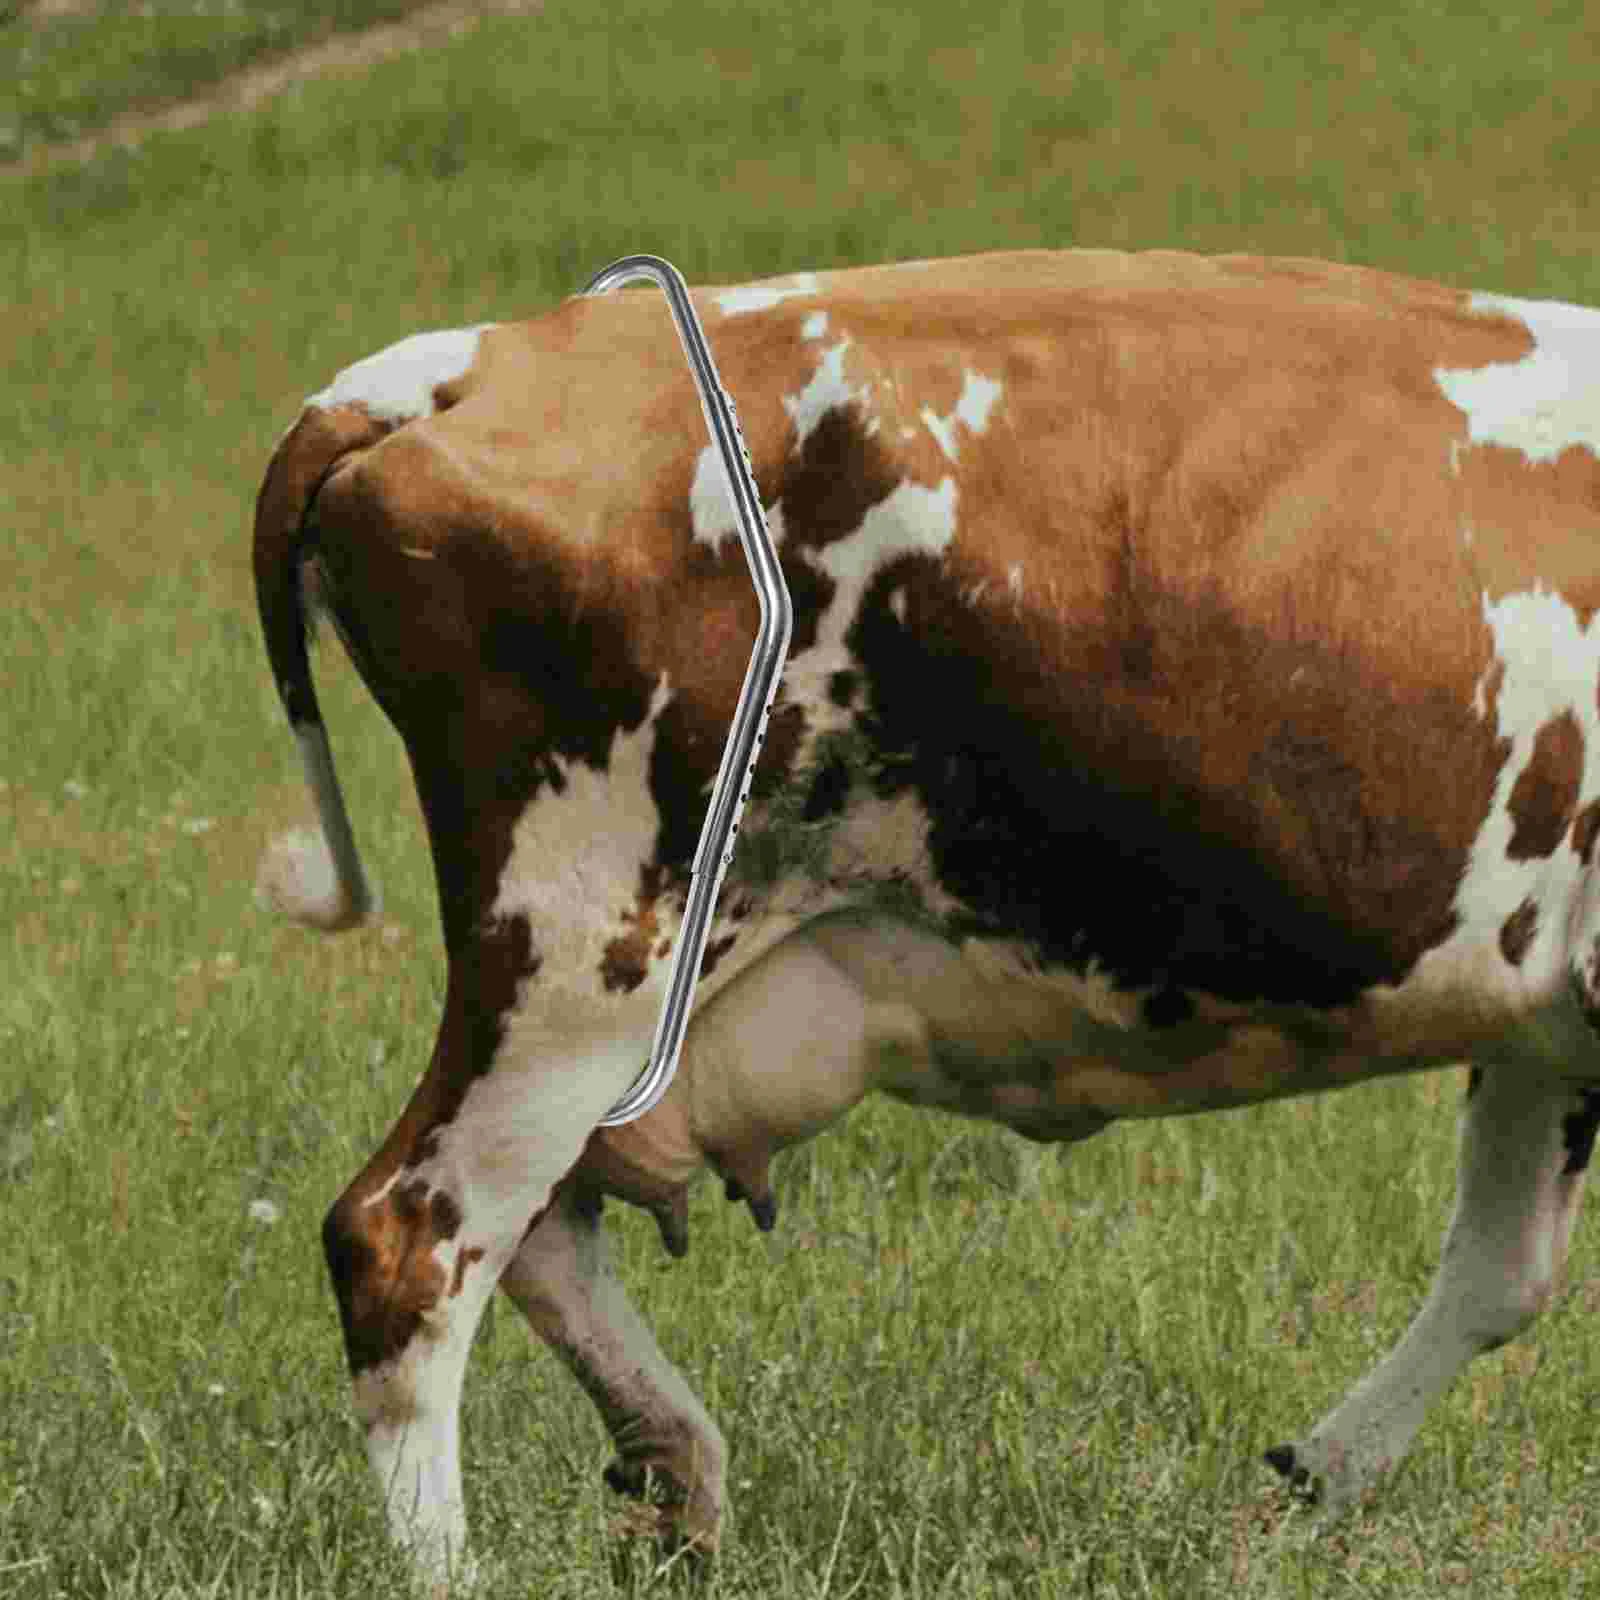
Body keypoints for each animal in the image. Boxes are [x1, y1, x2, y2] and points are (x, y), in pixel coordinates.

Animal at [252, 246, 1600, 1587]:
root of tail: (470, 360)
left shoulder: (1545, 1021)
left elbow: (1502, 1271)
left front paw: (1312, 1481)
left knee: (537, 1230)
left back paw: (678, 1467)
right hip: (589, 947)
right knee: (411, 1241)